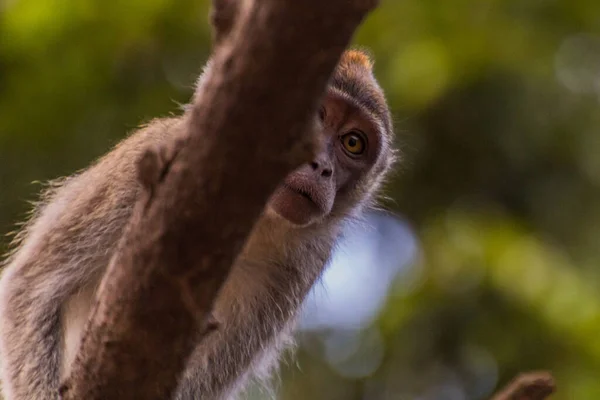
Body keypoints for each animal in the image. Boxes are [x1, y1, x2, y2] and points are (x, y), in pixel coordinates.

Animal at [0, 50, 396, 400]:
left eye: (353, 142)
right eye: (315, 116)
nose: (322, 167)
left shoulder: (300, 267)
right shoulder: (146, 167)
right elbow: (29, 288)